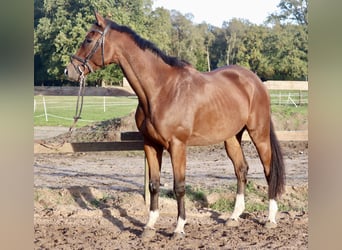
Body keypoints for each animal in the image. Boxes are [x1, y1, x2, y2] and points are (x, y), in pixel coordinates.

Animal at [65, 12, 284, 238]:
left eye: (88, 39)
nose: (69, 70)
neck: (161, 90)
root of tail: (255, 81)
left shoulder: (177, 145)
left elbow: (179, 186)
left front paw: (179, 227)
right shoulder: (151, 144)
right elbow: (153, 184)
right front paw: (149, 226)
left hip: (259, 134)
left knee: (269, 171)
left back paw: (270, 219)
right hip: (231, 137)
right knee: (241, 170)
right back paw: (234, 217)